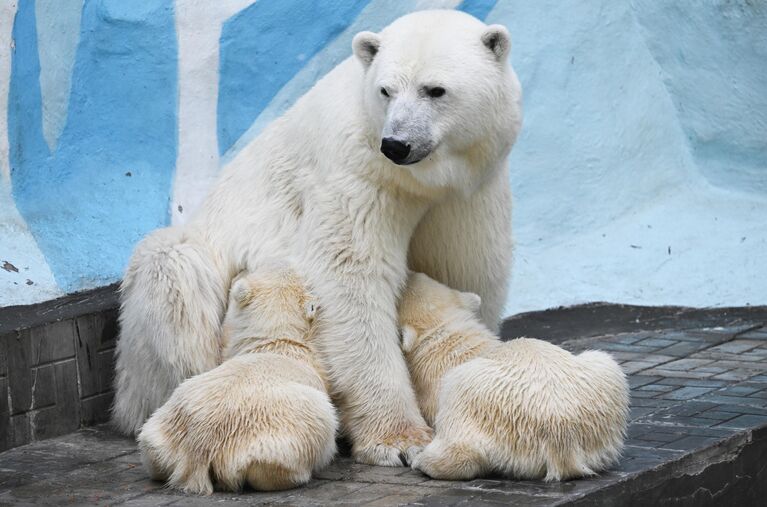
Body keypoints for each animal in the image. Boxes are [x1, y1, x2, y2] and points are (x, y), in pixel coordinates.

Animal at [114, 8, 520, 468]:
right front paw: (399, 439)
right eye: (386, 90)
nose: (396, 144)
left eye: (435, 89)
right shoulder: (357, 171)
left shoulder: (469, 190)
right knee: (174, 274)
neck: (420, 181)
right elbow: (349, 276)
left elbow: (463, 267)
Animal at [137, 264, 340, 494]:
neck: (274, 341)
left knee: (152, 450)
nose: (240, 270)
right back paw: (297, 476)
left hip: (165, 430)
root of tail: (201, 444)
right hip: (275, 437)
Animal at [402, 272, 632, 482]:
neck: (451, 339)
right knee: (605, 360)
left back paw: (422, 459)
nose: (409, 273)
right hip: (603, 399)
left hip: (478, 399)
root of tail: (562, 434)